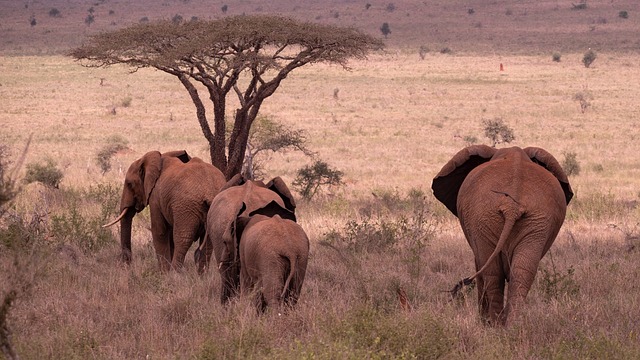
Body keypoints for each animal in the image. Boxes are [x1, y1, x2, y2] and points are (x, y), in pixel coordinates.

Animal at [430, 146, 576, 326]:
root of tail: (511, 206)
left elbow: (480, 266)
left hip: (487, 218)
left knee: (493, 274)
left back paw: (495, 325)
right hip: (534, 221)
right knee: (521, 273)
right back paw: (512, 326)